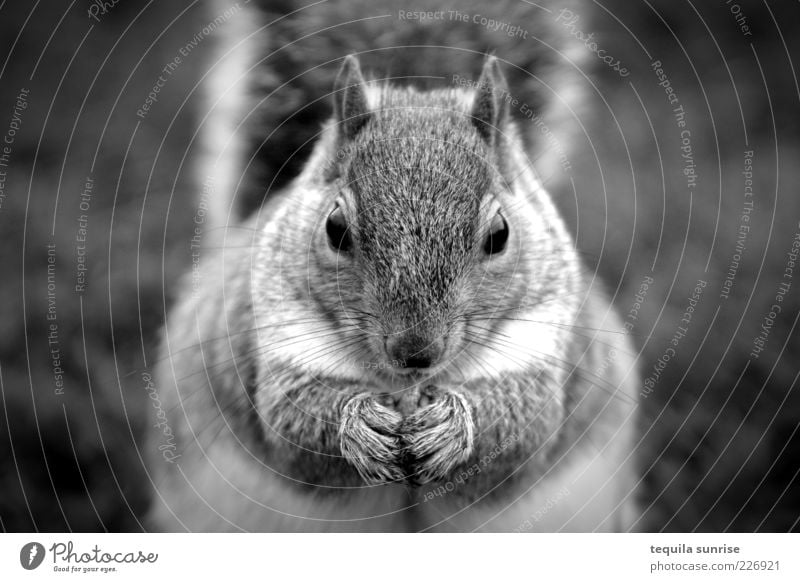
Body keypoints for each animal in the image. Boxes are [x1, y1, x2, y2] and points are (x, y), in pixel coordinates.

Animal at [148, 2, 636, 532]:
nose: (415, 351)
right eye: (335, 228)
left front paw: (452, 426)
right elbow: (291, 425)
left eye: (500, 234)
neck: (405, 387)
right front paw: (360, 423)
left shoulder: (542, 339)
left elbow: (524, 431)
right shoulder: (277, 334)